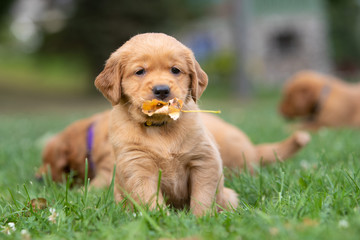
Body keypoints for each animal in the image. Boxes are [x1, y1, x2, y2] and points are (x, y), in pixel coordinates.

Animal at [94, 32, 238, 215]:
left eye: (175, 70)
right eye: (140, 71)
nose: (162, 90)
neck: (160, 127)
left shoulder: (205, 159)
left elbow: (203, 195)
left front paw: (201, 217)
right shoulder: (137, 165)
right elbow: (150, 199)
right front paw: (161, 218)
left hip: (230, 196)